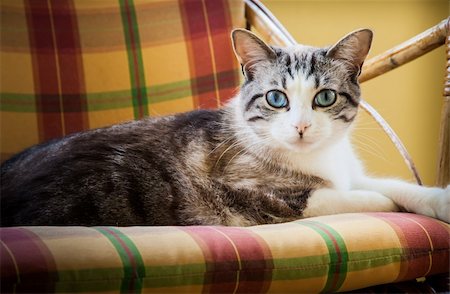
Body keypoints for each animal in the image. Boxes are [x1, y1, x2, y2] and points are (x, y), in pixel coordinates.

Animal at [0, 28, 448, 225]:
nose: (301, 127)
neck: (318, 159)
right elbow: (356, 197)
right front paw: (386, 204)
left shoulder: (348, 170)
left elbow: (388, 185)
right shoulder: (251, 191)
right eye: (276, 98)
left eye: (324, 97)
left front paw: (438, 201)